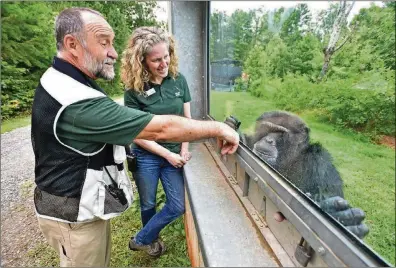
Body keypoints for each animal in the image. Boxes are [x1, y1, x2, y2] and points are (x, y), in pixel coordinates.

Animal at [226, 111, 368, 239]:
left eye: (281, 133)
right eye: (268, 129)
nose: (268, 139)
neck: (289, 160)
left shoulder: (320, 163)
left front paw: (339, 216)